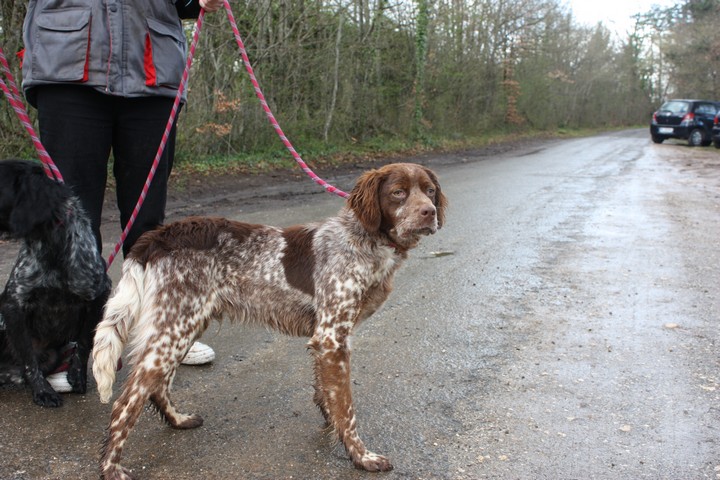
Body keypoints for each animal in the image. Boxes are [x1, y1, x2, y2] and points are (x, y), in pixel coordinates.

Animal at [0, 159, 111, 406]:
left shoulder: (99, 294)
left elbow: (84, 343)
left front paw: (77, 376)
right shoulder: (13, 303)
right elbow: (29, 360)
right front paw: (43, 391)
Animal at [93, 163, 448, 478]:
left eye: (429, 190)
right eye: (398, 192)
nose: (429, 212)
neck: (364, 240)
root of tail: (156, 238)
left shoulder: (325, 338)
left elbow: (326, 392)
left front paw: (330, 422)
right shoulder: (332, 336)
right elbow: (347, 408)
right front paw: (361, 456)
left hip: (185, 324)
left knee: (155, 388)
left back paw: (179, 420)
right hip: (175, 329)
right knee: (125, 402)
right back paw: (111, 468)